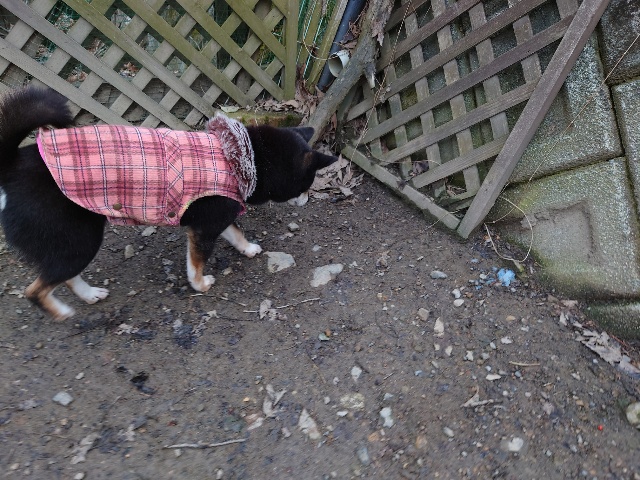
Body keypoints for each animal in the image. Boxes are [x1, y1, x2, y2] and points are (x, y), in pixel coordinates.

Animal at [0, 87, 337, 320]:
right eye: (308, 183)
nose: (307, 200)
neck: (245, 158)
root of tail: (11, 166)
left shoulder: (219, 216)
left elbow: (236, 233)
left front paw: (248, 248)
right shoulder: (204, 227)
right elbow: (197, 262)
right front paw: (200, 284)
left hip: (73, 241)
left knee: (64, 275)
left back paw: (89, 295)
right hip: (80, 238)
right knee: (36, 289)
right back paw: (61, 312)